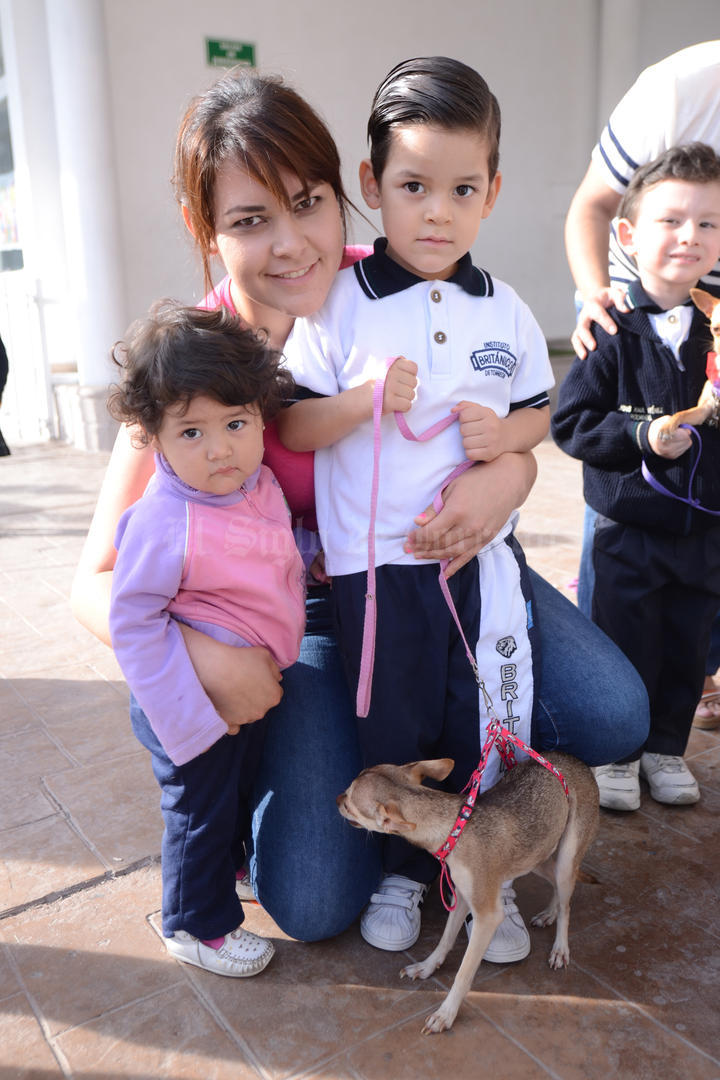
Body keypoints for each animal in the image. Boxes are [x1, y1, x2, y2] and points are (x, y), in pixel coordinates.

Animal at [338, 756, 595, 1032]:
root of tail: (577, 762)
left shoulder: (487, 916)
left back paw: (560, 947)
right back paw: (549, 913)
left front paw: (446, 1013)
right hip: (535, 856)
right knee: (556, 883)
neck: (454, 829)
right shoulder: (461, 897)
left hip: (566, 857)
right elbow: (445, 940)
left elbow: (464, 972)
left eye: (350, 803)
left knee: (567, 902)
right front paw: (427, 967)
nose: (336, 799)